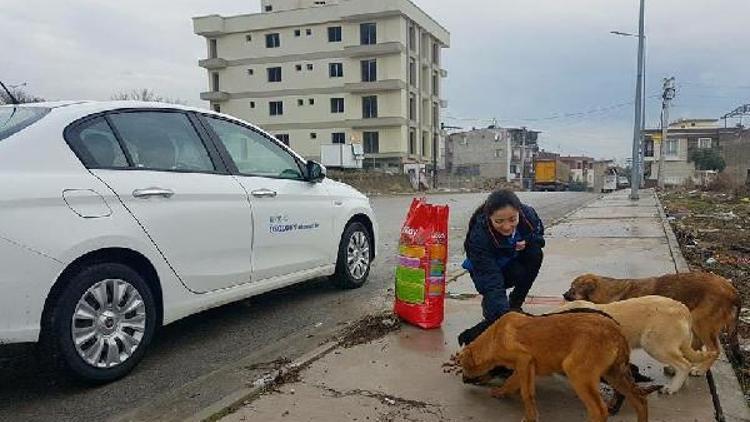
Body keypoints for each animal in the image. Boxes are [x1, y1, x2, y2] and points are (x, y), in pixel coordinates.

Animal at [458, 310, 652, 422]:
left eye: (464, 368)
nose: (463, 380)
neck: (493, 338)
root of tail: (617, 331)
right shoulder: (525, 367)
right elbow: (511, 383)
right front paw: (500, 392)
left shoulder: (524, 360)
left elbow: (526, 394)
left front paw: (530, 417)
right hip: (614, 373)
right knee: (640, 400)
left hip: (577, 371)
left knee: (599, 411)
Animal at [564, 272, 740, 374]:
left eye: (572, 289)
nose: (564, 294)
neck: (610, 291)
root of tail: (732, 289)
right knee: (695, 346)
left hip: (700, 321)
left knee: (714, 349)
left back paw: (700, 368)